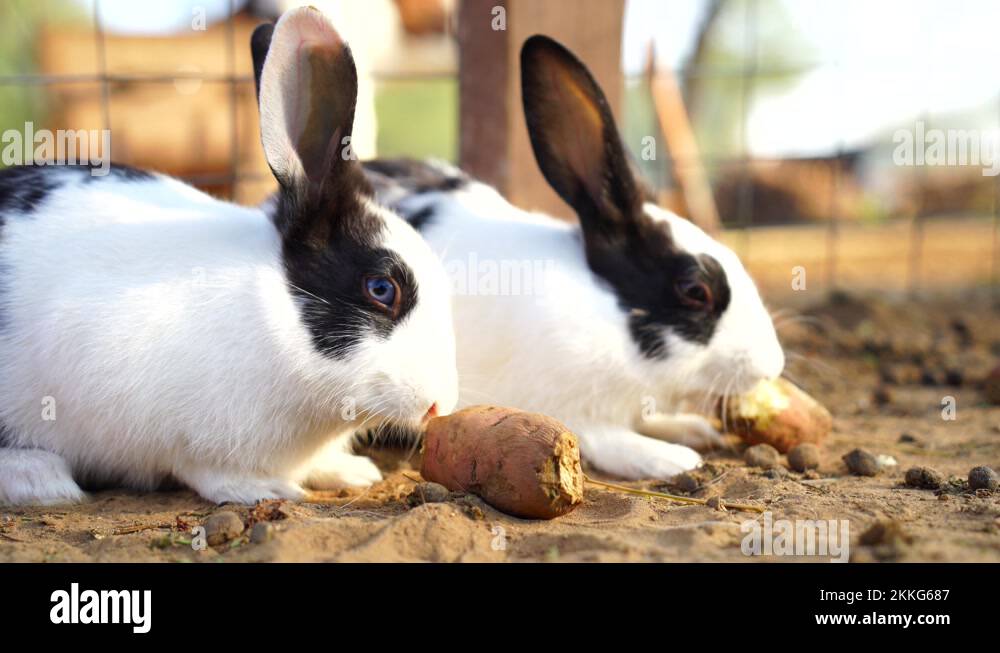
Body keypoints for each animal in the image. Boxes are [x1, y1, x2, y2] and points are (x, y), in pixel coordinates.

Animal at [0, 7, 458, 507]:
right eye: (381, 288)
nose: (441, 404)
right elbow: (204, 468)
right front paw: (265, 488)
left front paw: (350, 472)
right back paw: (41, 478)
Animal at [363, 35, 784, 481]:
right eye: (695, 290)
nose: (771, 367)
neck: (604, 313)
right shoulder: (567, 406)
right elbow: (606, 440)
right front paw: (669, 457)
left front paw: (691, 428)